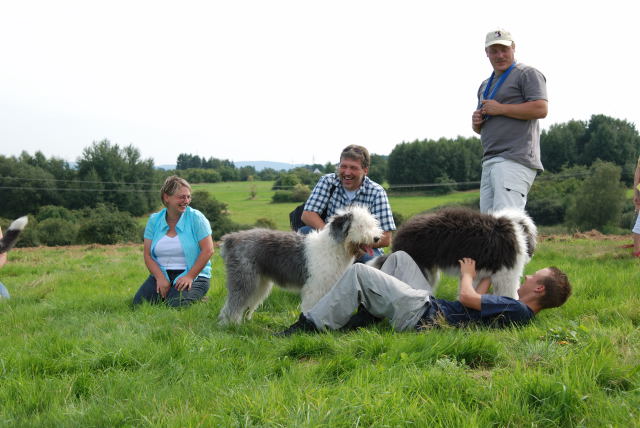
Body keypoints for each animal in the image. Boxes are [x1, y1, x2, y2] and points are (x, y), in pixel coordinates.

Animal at [218, 206, 383, 324]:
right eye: (360, 226)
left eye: (371, 225)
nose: (376, 238)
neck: (334, 247)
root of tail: (231, 239)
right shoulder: (315, 287)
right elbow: (311, 306)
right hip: (244, 278)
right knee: (234, 302)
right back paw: (231, 324)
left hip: (260, 282)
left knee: (248, 302)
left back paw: (245, 321)